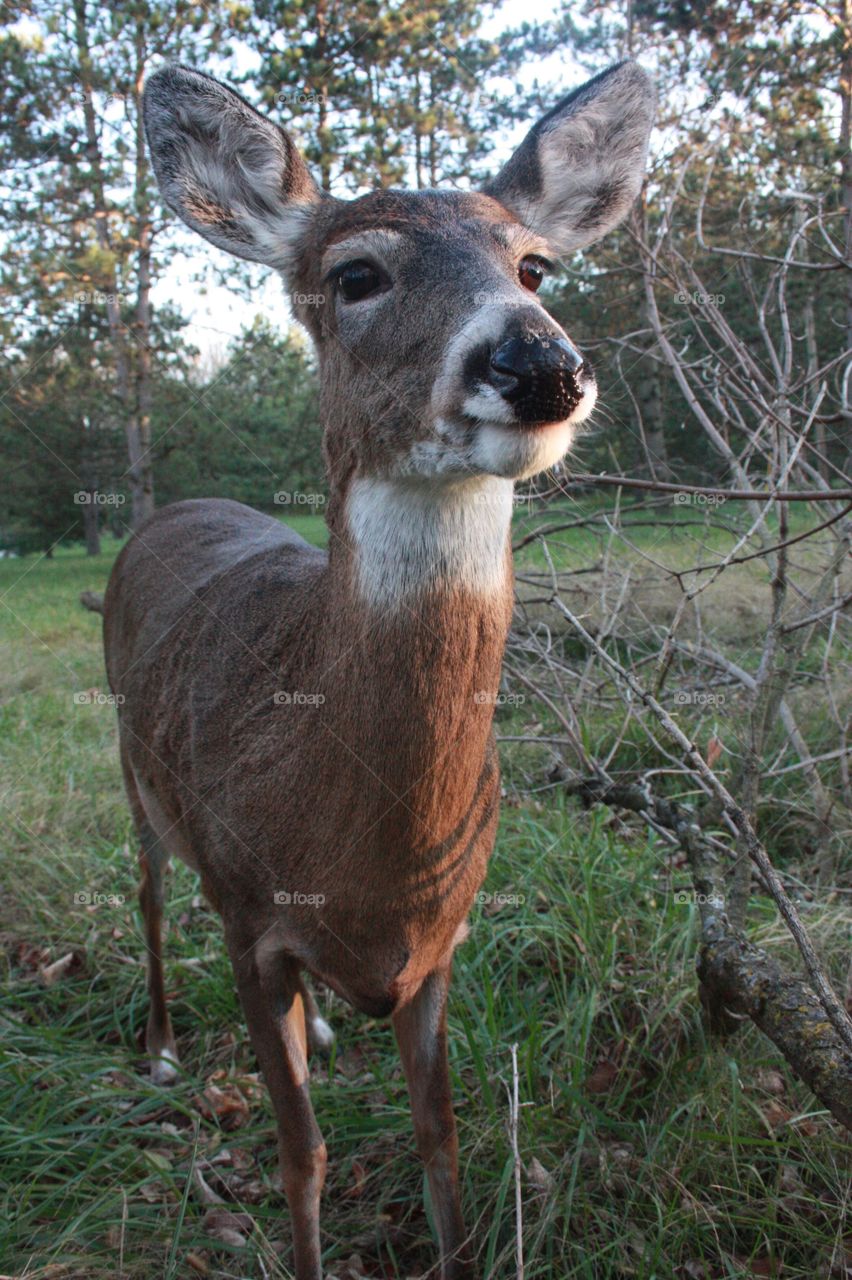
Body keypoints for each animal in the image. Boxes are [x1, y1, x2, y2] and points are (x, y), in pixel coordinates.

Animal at [102, 60, 654, 1280]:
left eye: (534, 265)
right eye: (357, 273)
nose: (540, 362)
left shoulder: (442, 937)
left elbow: (442, 1138)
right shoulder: (250, 915)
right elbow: (300, 1155)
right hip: (132, 764)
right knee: (153, 890)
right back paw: (160, 1045)